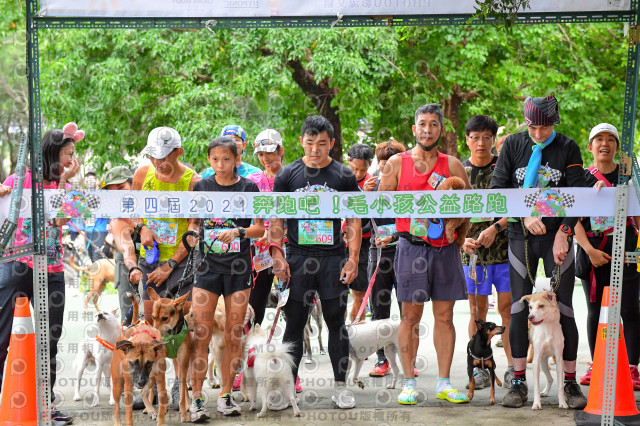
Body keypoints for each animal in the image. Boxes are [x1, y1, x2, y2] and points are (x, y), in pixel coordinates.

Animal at [111, 294, 169, 424]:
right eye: (133, 363)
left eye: (149, 363)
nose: (140, 382)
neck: (143, 337)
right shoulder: (128, 386)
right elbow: (128, 414)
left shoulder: (160, 380)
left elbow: (161, 407)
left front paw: (161, 419)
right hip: (118, 383)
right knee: (116, 407)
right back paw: (117, 422)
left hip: (151, 379)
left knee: (143, 392)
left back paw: (151, 409)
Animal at [147, 288, 190, 422]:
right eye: (153, 317)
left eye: (165, 318)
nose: (153, 336)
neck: (172, 334)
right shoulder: (160, 362)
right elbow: (161, 388)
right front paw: (162, 407)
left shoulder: (183, 362)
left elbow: (182, 390)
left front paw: (184, 412)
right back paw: (149, 408)